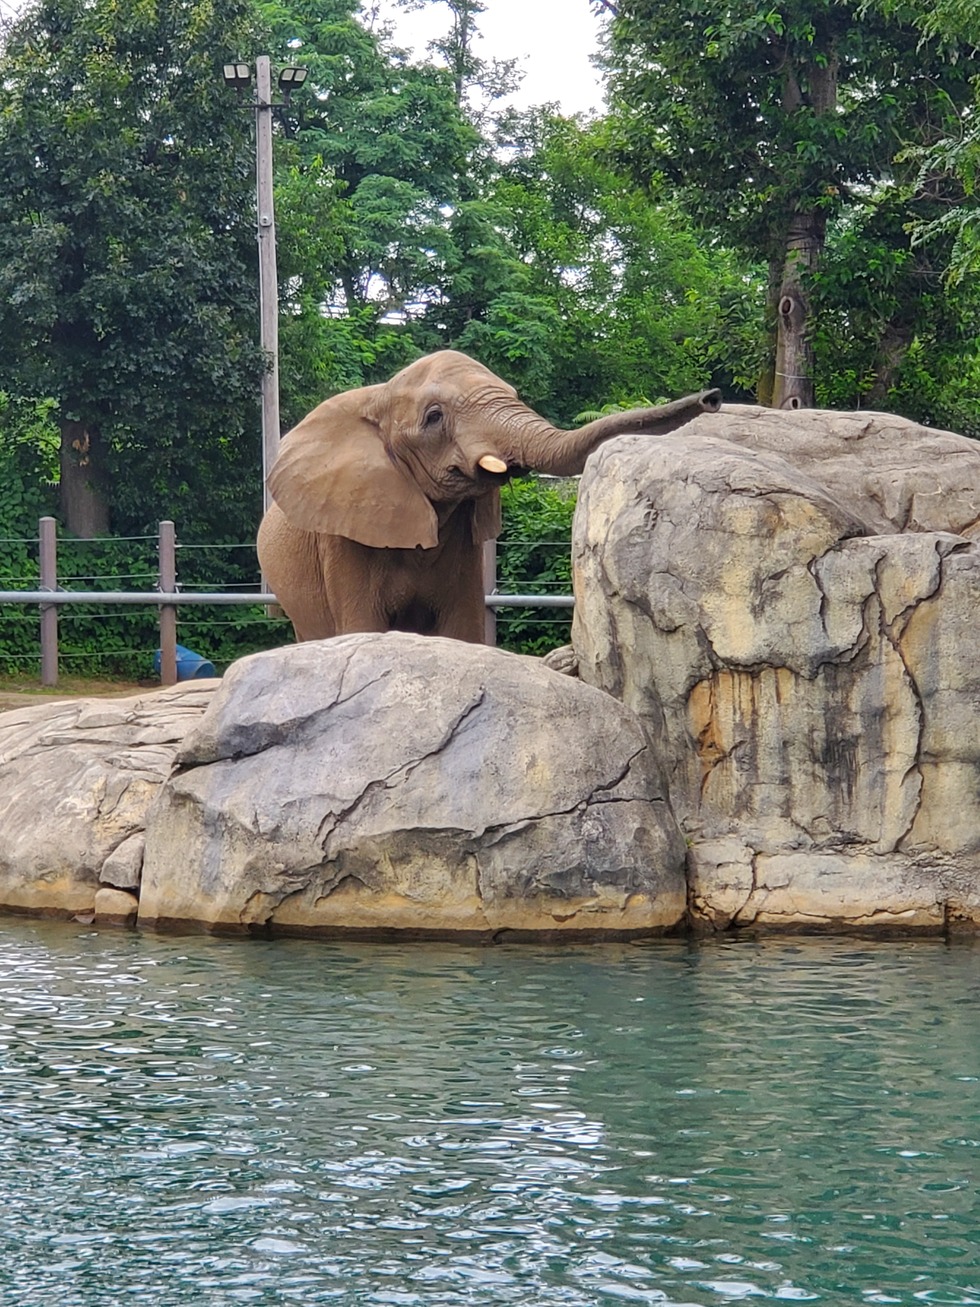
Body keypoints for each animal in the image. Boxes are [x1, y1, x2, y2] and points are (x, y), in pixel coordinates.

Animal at [257, 350, 720, 643]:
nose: (712, 396)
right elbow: (363, 626)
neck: (380, 394)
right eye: (434, 418)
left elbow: (462, 627)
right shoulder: (345, 535)